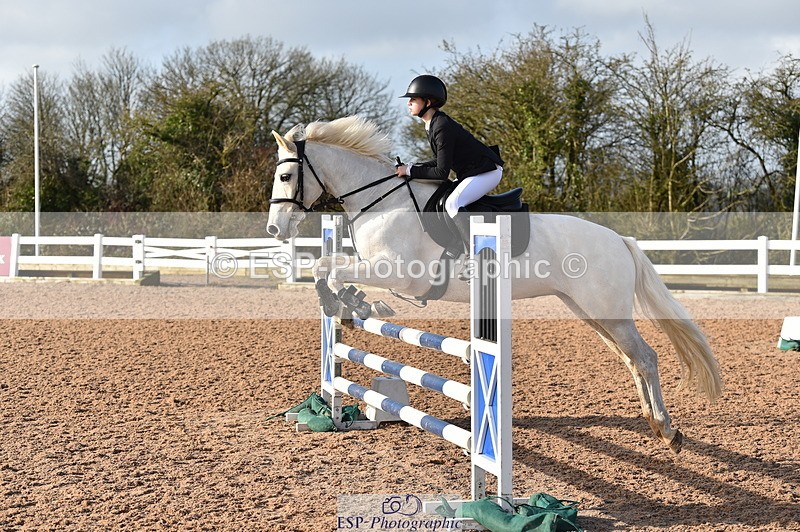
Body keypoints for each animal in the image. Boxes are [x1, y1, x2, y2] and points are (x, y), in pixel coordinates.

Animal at [266, 115, 722, 453]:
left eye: (286, 176)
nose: (275, 229)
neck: (382, 202)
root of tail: (618, 239)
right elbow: (328, 268)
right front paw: (356, 304)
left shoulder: (397, 271)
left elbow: (329, 267)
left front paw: (345, 302)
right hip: (590, 312)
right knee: (631, 359)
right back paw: (654, 423)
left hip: (608, 312)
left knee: (645, 357)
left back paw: (667, 430)